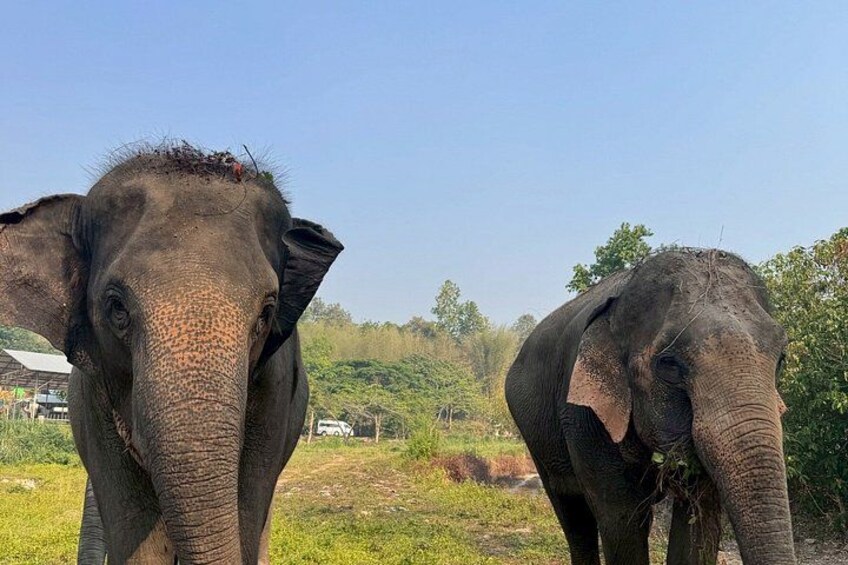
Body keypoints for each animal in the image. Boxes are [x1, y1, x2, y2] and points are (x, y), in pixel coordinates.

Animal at [505, 249, 795, 565]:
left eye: (781, 358)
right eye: (668, 364)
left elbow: (699, 520)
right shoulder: (584, 418)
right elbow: (622, 522)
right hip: (536, 437)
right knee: (573, 515)